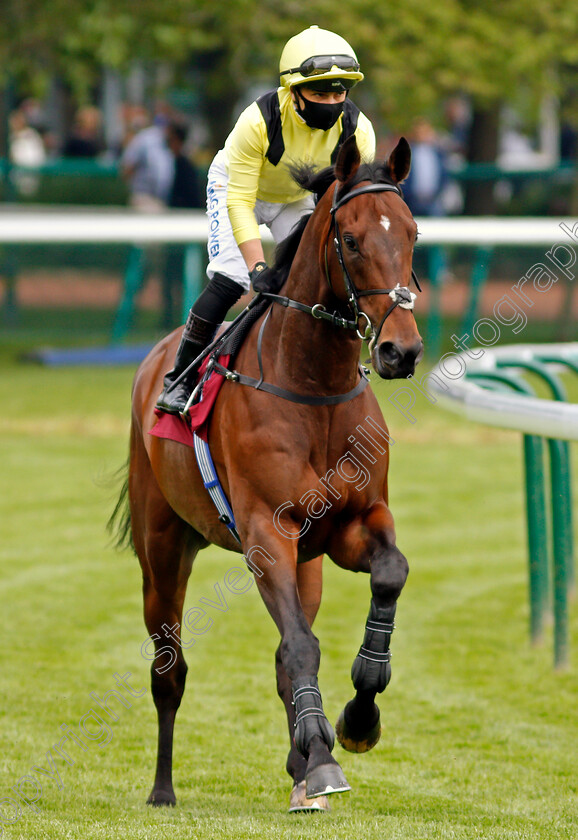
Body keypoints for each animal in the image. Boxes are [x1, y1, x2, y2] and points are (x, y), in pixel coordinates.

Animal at [110, 136, 420, 812]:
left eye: (412, 233)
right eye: (351, 240)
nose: (401, 350)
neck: (313, 388)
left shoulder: (351, 524)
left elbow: (388, 574)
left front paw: (357, 720)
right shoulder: (265, 533)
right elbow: (299, 645)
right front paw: (325, 757)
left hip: (307, 565)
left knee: (286, 649)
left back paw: (304, 766)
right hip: (162, 549)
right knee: (169, 668)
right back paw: (164, 788)